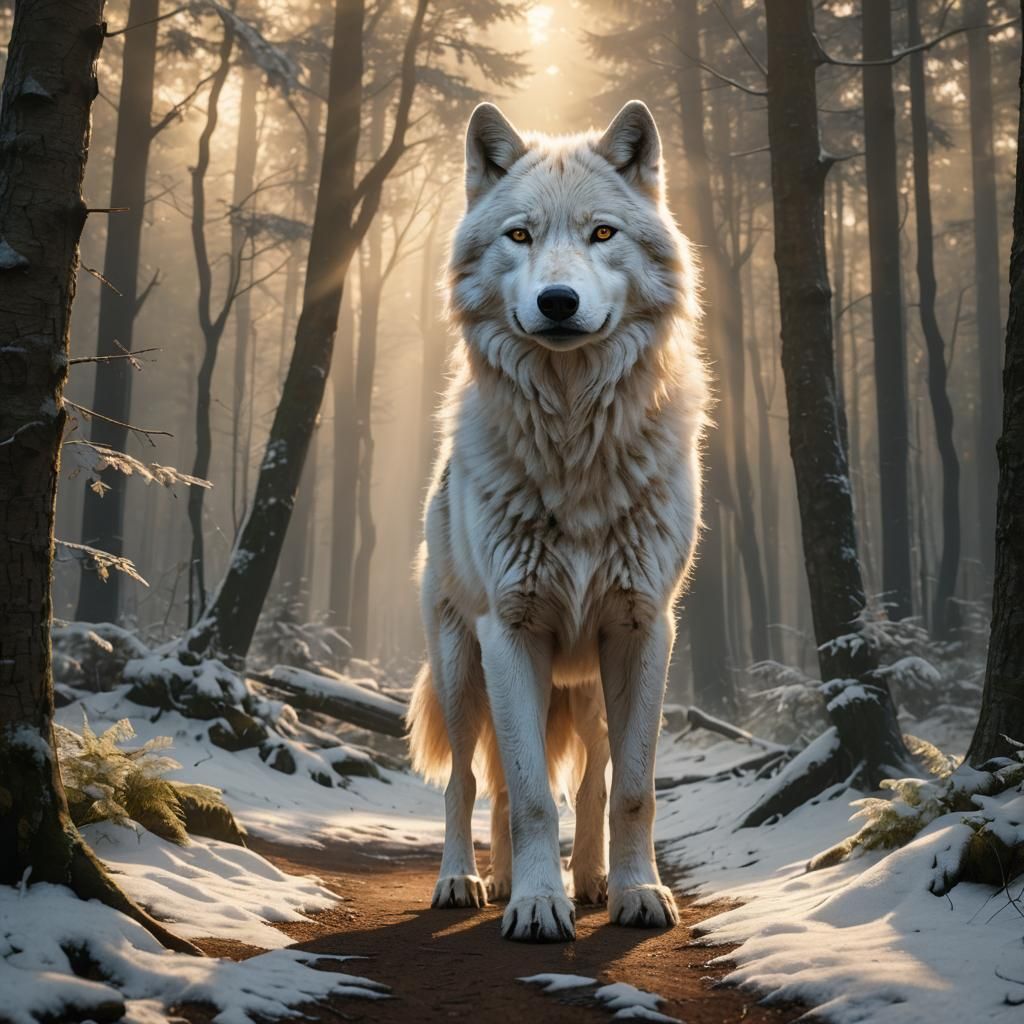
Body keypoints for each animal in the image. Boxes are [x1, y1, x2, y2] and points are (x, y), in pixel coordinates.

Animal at [407, 100, 709, 942]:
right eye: (521, 236)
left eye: (602, 233)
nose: (558, 302)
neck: (575, 447)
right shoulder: (511, 633)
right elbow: (532, 794)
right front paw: (539, 904)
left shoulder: (645, 629)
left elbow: (634, 790)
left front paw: (639, 893)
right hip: (462, 668)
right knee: (476, 783)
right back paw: (474, 881)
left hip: (590, 687)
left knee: (596, 779)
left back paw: (597, 881)